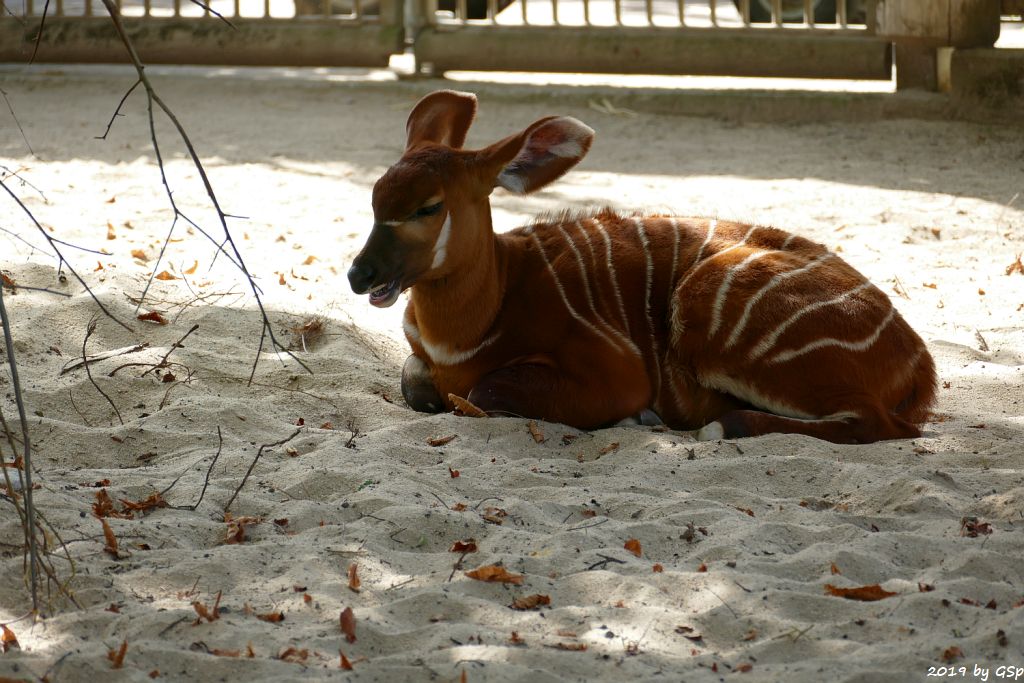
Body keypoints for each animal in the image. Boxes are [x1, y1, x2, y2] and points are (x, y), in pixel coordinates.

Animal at [350, 89, 937, 444]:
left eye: (429, 207)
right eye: (375, 199)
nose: (361, 275)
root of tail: (918, 362)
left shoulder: (616, 370)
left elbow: (482, 393)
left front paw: (638, 417)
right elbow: (416, 384)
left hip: (709, 307)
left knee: (876, 422)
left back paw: (722, 425)